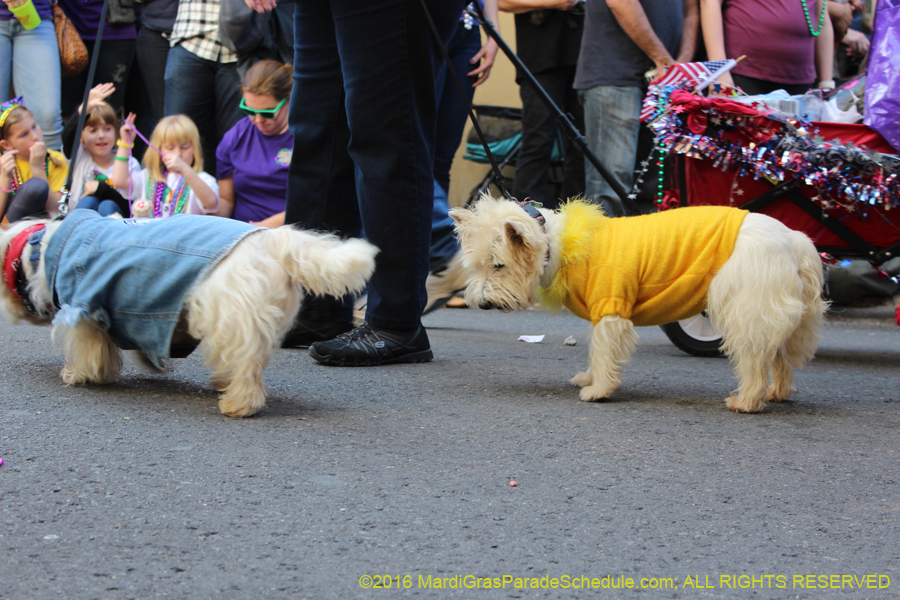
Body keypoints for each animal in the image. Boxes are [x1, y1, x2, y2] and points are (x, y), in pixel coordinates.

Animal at [0, 211, 374, 418]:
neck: (41, 248)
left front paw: (81, 375)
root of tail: (275, 240)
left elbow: (91, 350)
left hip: (231, 315)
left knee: (246, 367)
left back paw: (238, 403)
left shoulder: (85, 309)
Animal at [454, 197, 828, 412]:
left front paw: (599, 390)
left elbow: (603, 352)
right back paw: (777, 392)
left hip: (746, 310)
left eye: (499, 265)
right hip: (771, 312)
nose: (482, 304)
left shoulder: (610, 309)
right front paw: (590, 379)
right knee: (777, 356)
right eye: (476, 267)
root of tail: (791, 238)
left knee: (753, 360)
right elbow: (596, 351)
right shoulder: (602, 314)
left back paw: (748, 400)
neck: (555, 244)